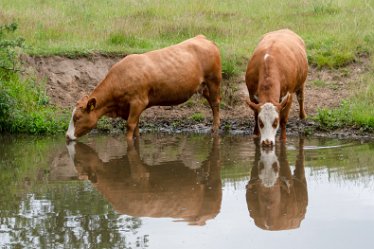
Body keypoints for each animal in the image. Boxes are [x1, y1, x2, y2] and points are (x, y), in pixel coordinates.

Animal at [66, 36, 222, 143]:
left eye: (77, 117)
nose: (67, 136)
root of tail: (202, 38)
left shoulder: (138, 102)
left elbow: (130, 125)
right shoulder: (129, 108)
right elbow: (135, 126)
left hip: (213, 80)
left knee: (215, 103)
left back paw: (215, 129)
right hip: (204, 86)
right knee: (211, 102)